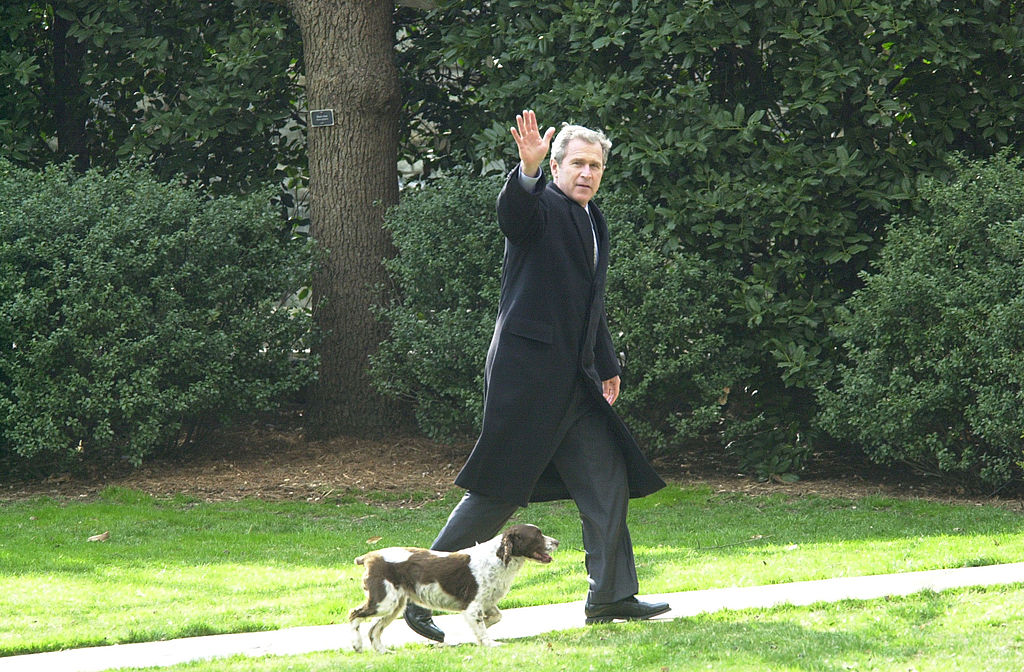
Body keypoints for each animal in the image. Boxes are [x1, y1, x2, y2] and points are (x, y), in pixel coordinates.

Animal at [350, 524, 561, 651]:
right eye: (537, 535)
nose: (557, 542)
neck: (498, 558)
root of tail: (369, 556)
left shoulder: (486, 602)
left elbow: (495, 617)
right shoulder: (473, 605)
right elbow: (482, 627)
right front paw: (490, 643)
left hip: (394, 605)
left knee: (374, 629)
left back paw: (383, 651)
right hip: (383, 601)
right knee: (354, 615)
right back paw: (357, 645)